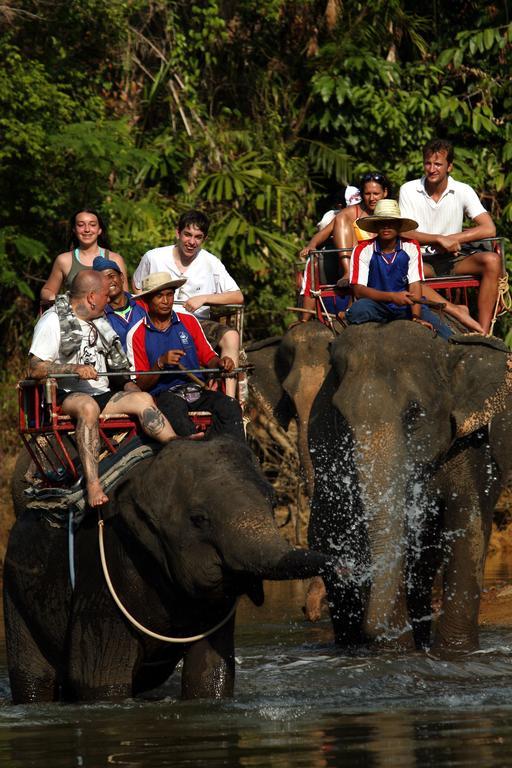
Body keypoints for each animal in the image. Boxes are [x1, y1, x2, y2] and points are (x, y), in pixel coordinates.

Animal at [4, 438, 328, 704]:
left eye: (273, 503)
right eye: (199, 519)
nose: (335, 564)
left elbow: (208, 672)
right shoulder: (104, 571)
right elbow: (98, 677)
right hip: (16, 592)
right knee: (34, 679)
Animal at [308, 324, 512, 656]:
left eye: (414, 413)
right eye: (339, 415)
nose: (373, 629)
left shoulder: (472, 444)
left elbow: (467, 526)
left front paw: (454, 653)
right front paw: (396, 652)